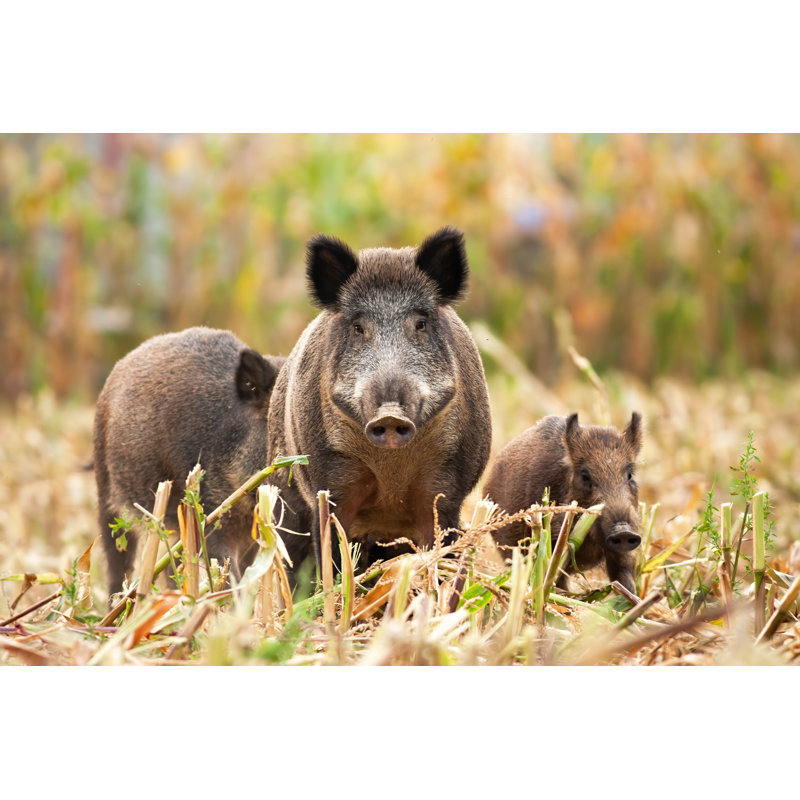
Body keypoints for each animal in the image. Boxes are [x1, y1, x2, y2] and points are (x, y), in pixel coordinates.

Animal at [267, 227, 492, 573]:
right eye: (359, 327)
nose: (389, 415)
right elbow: (332, 556)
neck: (390, 475)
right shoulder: (330, 485)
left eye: (420, 323)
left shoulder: (446, 488)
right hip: (283, 486)